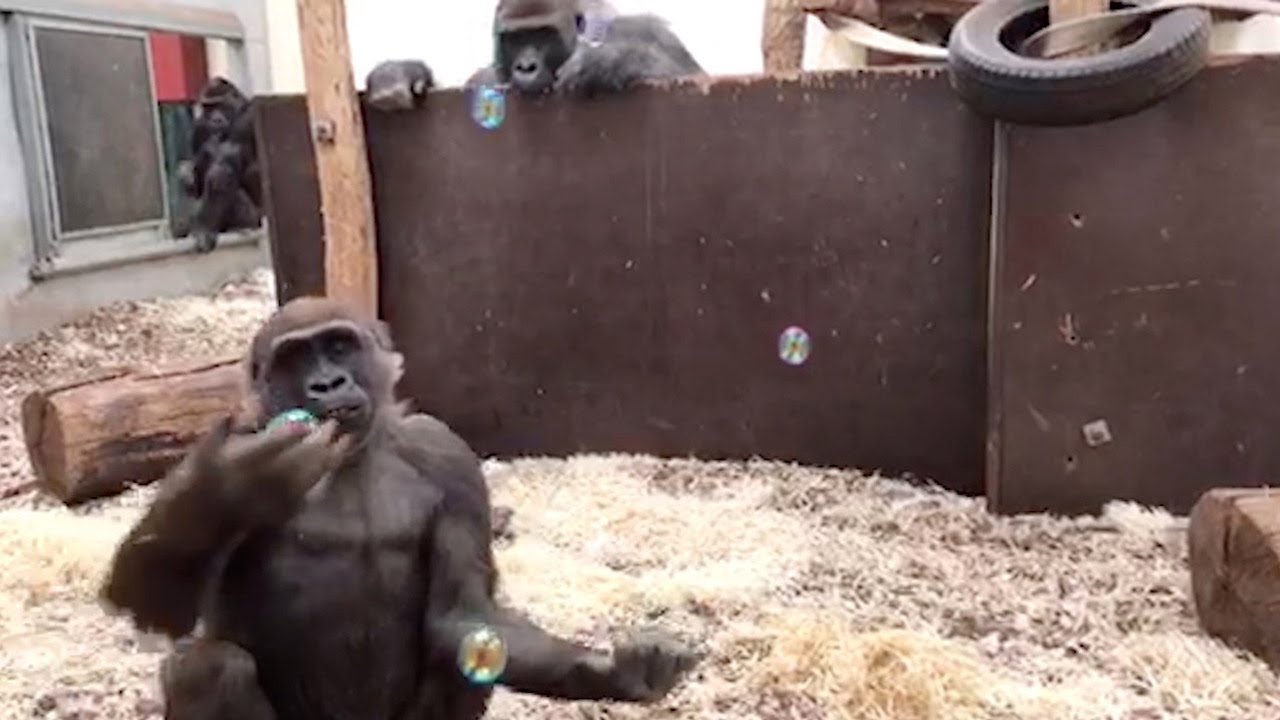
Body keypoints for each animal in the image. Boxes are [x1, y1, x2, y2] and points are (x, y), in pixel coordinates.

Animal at [99, 296, 699, 719]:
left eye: (339, 347)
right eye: (294, 358)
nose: (327, 383)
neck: (356, 452)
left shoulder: (448, 455)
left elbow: (463, 618)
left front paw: (617, 671)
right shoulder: (225, 438)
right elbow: (154, 604)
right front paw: (241, 482)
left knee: (464, 651)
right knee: (206, 667)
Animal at [364, 0, 704, 112]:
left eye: (543, 35)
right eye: (515, 39)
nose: (526, 67)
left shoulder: (644, 28)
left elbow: (692, 76)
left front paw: (612, 61)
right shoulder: (486, 77)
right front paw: (400, 73)